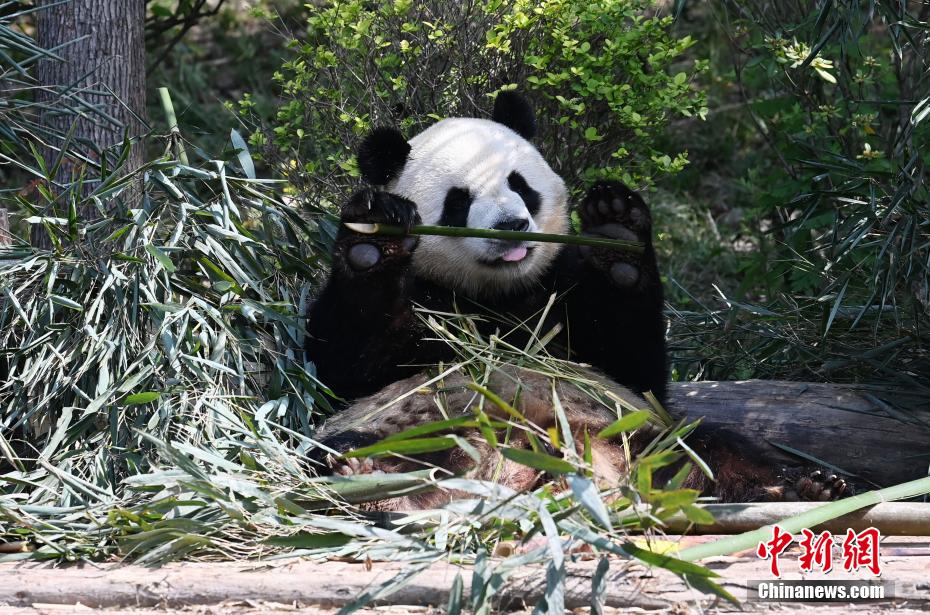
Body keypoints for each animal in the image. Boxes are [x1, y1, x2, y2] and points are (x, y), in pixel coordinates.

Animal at [306, 90, 848, 506]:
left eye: (519, 184)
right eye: (459, 201)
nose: (511, 225)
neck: (498, 295)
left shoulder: (562, 288)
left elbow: (635, 367)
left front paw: (615, 230)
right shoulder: (423, 303)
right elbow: (344, 369)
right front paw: (372, 239)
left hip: (633, 432)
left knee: (707, 450)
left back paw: (806, 486)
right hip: (412, 428)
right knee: (344, 449)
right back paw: (367, 478)